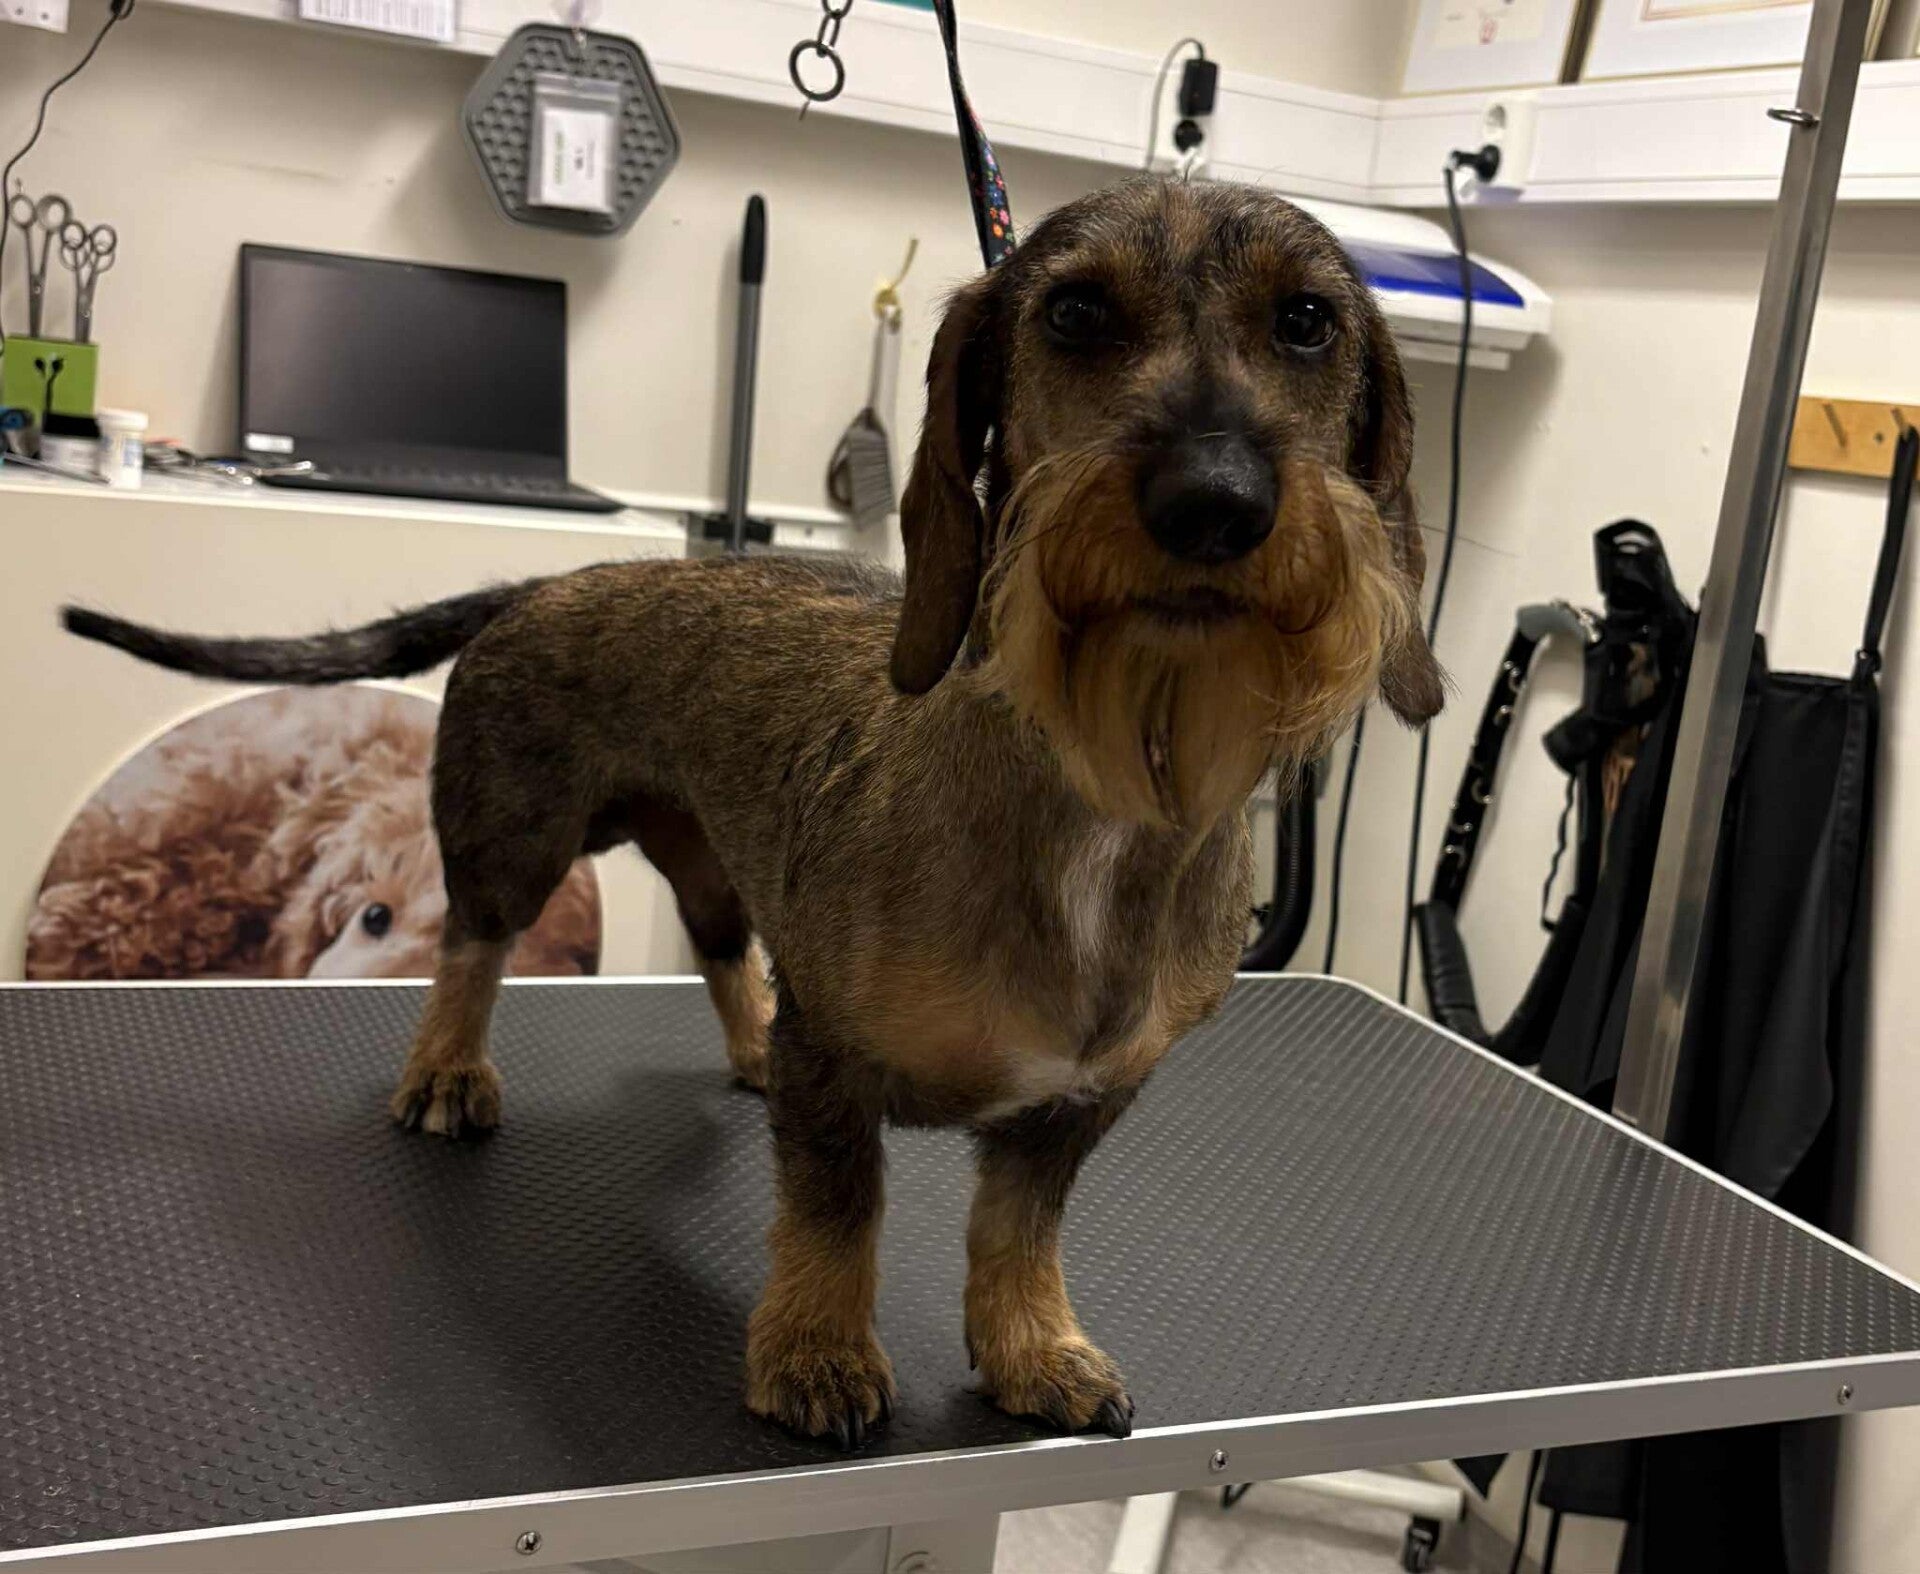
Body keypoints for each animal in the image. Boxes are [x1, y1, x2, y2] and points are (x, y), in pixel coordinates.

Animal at [62, 177, 1443, 1447]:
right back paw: (449, 1067)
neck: (1099, 784)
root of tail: (547, 583)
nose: (1215, 498)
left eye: (1308, 321)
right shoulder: (835, 1067)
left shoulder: (1078, 1099)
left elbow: (1018, 1231)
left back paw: (745, 1041)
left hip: (717, 868)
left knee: (726, 953)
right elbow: (840, 1209)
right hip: (517, 841)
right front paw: (818, 1351)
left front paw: (1031, 1347)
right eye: (1076, 312)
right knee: (473, 945)